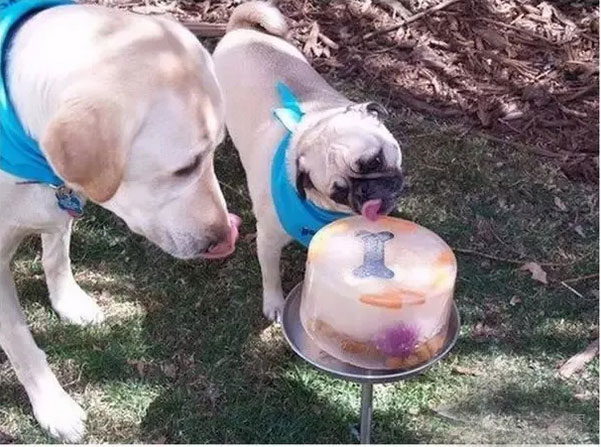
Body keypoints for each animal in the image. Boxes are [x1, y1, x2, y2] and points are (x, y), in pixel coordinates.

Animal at [0, 0, 240, 441]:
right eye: (185, 167)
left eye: (217, 150)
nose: (223, 237)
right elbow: (20, 341)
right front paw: (53, 406)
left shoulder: (62, 201)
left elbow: (56, 256)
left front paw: (69, 303)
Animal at [213, 1, 404, 322]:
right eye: (338, 192)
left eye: (376, 160)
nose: (366, 192)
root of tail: (240, 29)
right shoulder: (267, 241)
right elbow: (271, 276)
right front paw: (274, 304)